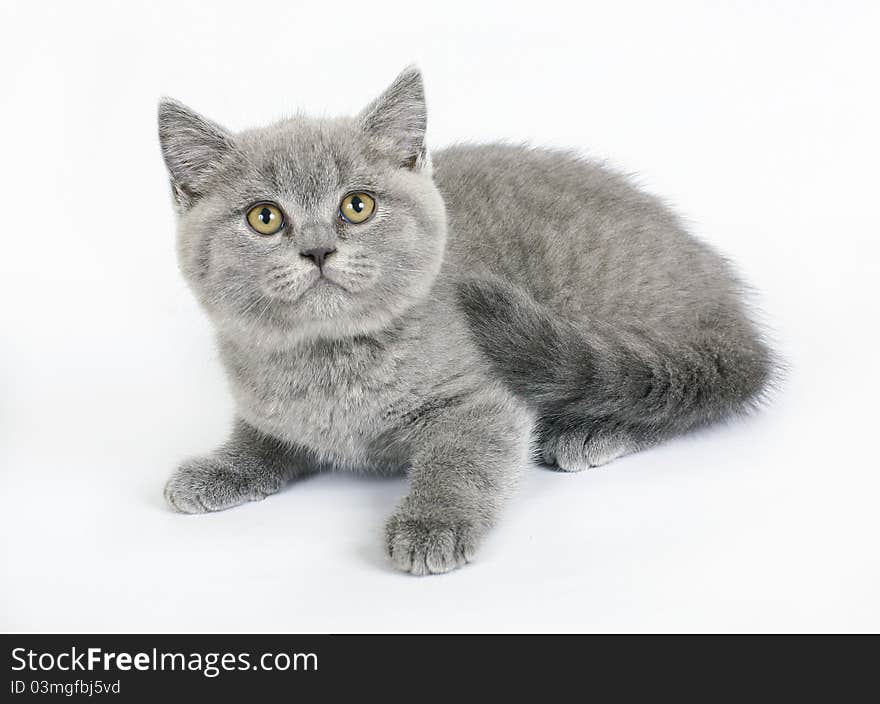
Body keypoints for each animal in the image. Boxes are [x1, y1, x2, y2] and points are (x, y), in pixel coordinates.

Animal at [156, 66, 768, 576]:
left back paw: (592, 430)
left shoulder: (480, 399)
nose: (318, 249)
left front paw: (433, 524)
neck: (332, 362)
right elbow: (262, 437)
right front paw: (221, 468)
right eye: (264, 217)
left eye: (357, 205)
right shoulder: (270, 405)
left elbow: (461, 459)